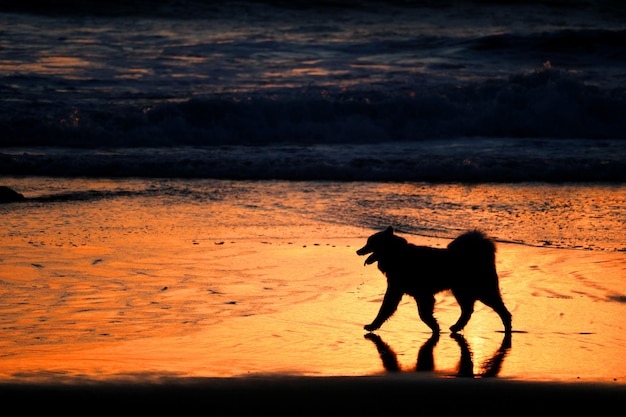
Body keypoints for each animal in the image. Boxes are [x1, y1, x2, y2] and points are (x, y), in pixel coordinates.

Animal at [358, 226, 510, 334]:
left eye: (370, 243)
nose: (358, 251)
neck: (397, 255)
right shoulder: (400, 292)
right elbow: (387, 310)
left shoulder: (420, 294)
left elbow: (422, 314)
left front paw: (435, 327)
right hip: (461, 292)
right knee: (468, 310)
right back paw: (457, 327)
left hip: (481, 291)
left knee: (501, 310)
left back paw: (507, 327)